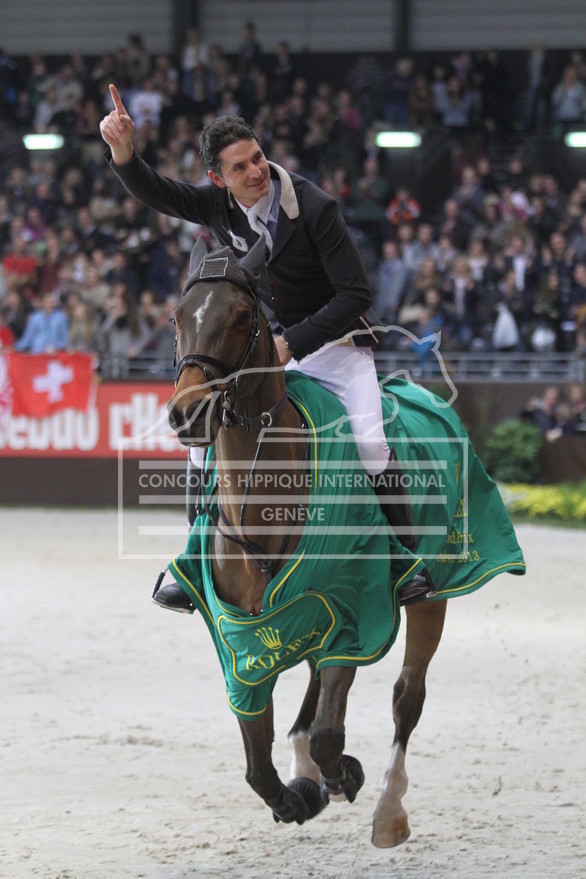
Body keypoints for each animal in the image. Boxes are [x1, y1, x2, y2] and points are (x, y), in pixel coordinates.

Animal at [162, 237, 524, 848]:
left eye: (242, 317)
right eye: (178, 317)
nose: (190, 414)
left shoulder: (356, 608)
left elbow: (333, 730)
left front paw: (339, 777)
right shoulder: (241, 639)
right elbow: (257, 765)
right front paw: (299, 795)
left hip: (433, 596)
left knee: (407, 697)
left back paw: (386, 808)